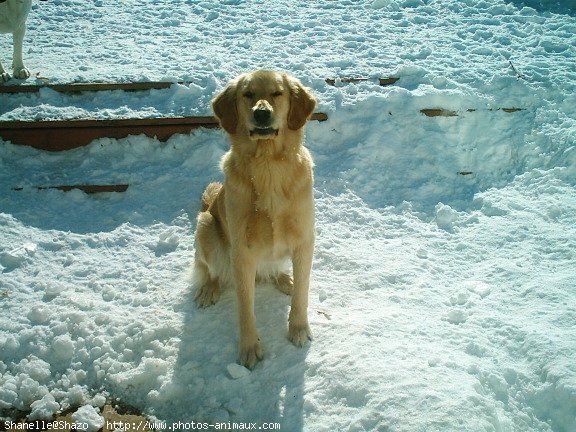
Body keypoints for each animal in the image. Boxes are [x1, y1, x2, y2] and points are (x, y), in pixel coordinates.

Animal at [196, 70, 318, 368]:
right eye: (247, 94)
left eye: (277, 93)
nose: (261, 114)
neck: (268, 166)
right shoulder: (242, 252)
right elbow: (245, 307)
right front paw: (249, 347)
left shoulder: (304, 241)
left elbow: (302, 294)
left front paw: (298, 329)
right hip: (205, 225)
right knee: (212, 271)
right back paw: (209, 290)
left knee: (273, 272)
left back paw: (285, 279)